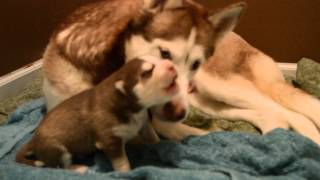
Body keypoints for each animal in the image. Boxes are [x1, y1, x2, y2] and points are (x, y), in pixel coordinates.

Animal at [16, 58, 180, 172]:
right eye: (147, 72)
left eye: (158, 58)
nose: (171, 64)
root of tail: (34, 139)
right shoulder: (109, 140)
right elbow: (122, 162)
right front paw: (125, 172)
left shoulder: (144, 122)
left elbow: (152, 136)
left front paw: (158, 145)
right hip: (57, 150)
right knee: (60, 166)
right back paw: (77, 168)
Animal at [43, 0, 320, 144]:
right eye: (164, 54)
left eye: (195, 62)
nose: (175, 111)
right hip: (204, 100)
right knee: (270, 114)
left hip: (219, 86)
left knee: (293, 111)